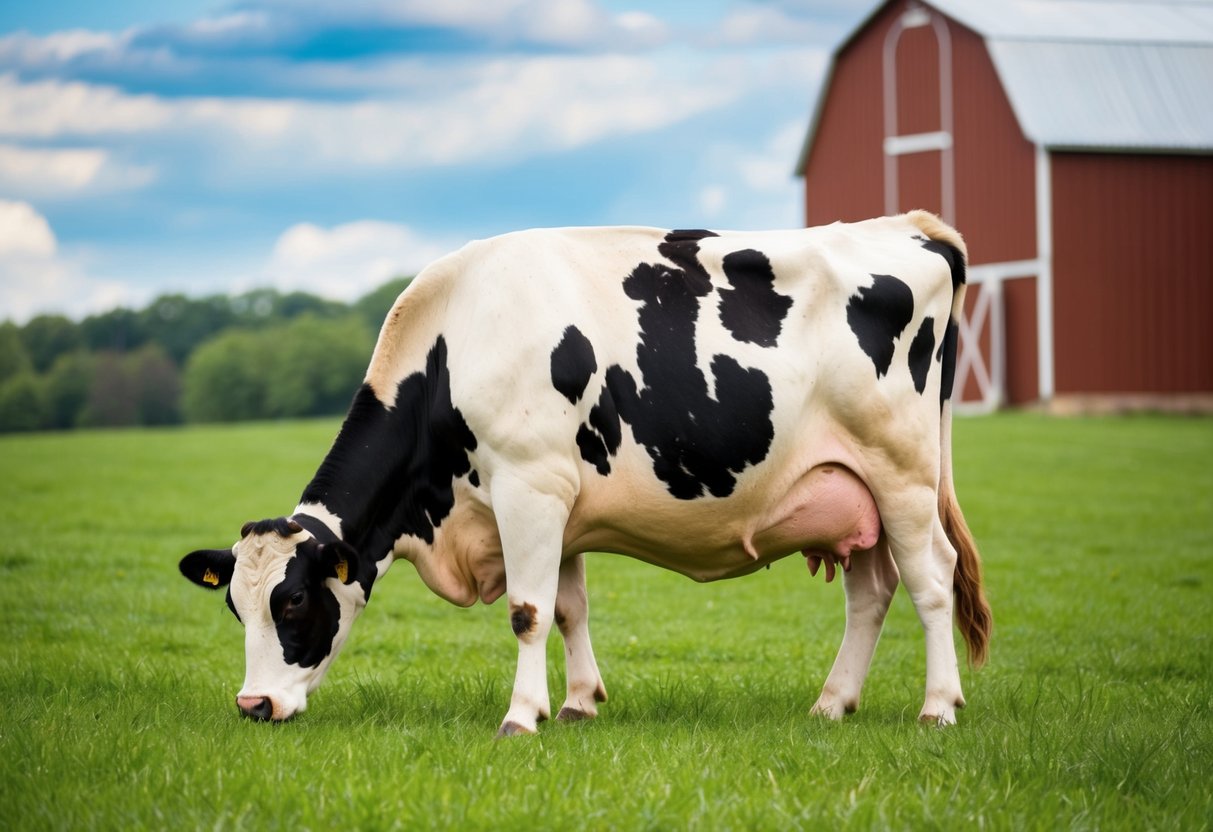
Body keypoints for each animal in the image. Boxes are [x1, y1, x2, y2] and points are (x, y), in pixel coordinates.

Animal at [180, 210, 992, 734]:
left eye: (293, 603)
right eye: (236, 608)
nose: (253, 706)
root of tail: (911, 224)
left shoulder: (527, 485)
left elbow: (527, 611)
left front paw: (519, 718)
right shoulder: (556, 502)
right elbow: (568, 608)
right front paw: (573, 704)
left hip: (901, 472)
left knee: (930, 580)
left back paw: (938, 708)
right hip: (852, 491)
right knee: (872, 592)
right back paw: (831, 704)